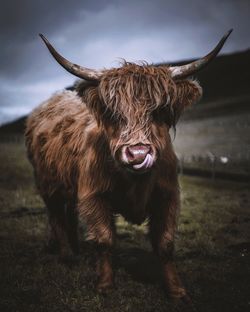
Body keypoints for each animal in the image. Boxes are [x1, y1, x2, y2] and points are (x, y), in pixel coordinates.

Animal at [25, 30, 232, 302]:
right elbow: (104, 239)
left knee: (67, 214)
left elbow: (166, 244)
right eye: (113, 113)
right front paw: (105, 285)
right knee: (56, 214)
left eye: (160, 111)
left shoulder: (168, 195)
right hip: (47, 185)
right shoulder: (93, 195)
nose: (138, 154)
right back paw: (67, 255)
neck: (135, 182)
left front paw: (176, 290)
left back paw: (74, 249)